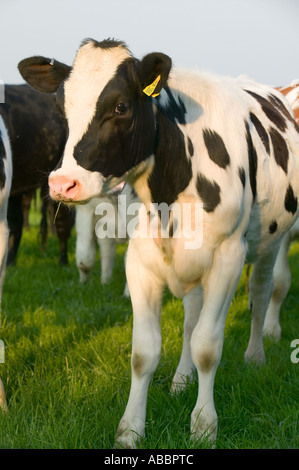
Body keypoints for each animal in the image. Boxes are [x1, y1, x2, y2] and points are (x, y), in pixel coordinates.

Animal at [19, 39, 299, 448]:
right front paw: (130, 430)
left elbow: (207, 347)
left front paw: (204, 426)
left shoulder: (228, 258)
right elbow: (144, 352)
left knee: (263, 292)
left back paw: (256, 354)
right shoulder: (140, 262)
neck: (173, 181)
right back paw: (182, 379)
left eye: (121, 106)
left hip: (270, 239)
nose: (62, 184)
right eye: (60, 108)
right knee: (191, 316)